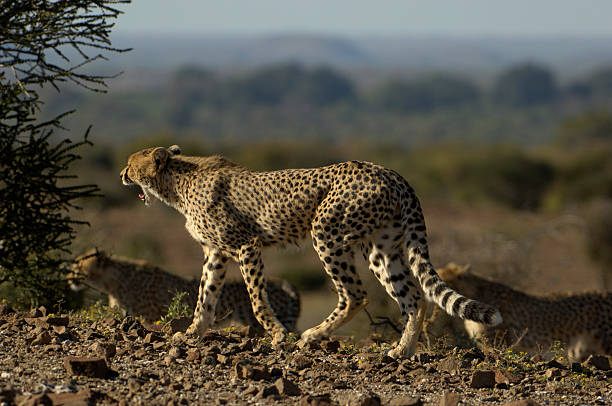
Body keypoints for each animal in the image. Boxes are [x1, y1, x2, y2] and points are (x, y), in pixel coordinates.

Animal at [120, 146, 502, 358]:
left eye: (131, 163)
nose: (122, 174)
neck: (178, 181)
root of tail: (389, 171)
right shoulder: (215, 251)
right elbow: (206, 296)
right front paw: (192, 332)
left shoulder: (246, 245)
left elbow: (256, 299)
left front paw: (277, 334)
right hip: (382, 248)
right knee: (413, 297)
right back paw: (402, 351)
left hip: (326, 233)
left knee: (355, 294)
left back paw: (312, 335)